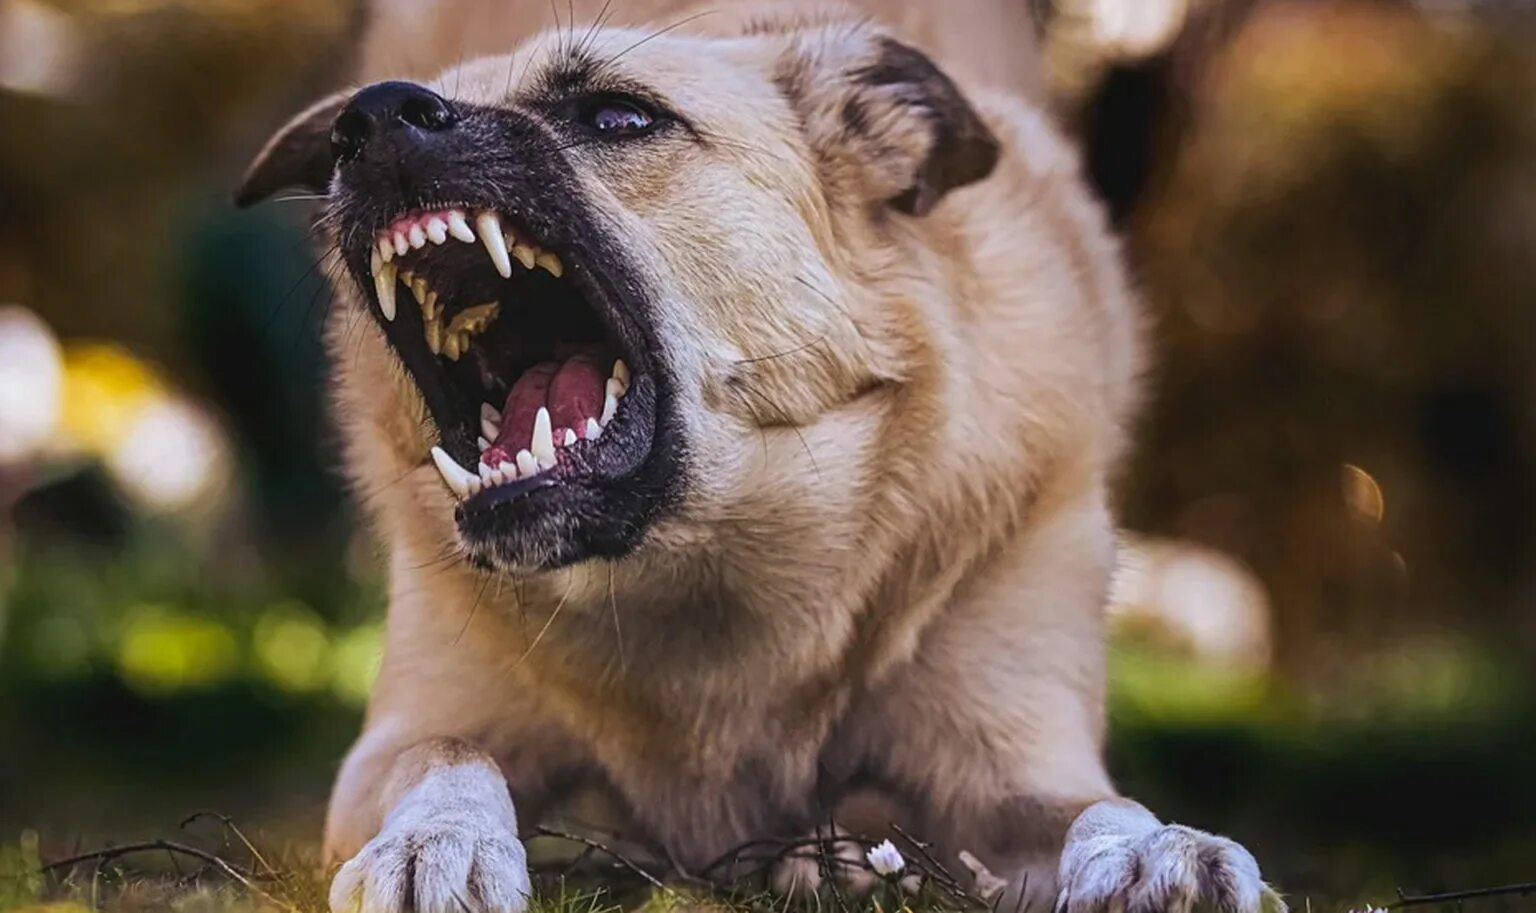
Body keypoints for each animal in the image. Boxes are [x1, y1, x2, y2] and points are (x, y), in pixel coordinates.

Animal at [233, 3, 1277, 903]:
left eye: (618, 115)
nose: (368, 121)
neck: (702, 574)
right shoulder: (403, 736)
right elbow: (448, 754)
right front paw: (434, 839)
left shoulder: (1013, 763)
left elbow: (1101, 805)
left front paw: (1157, 850)